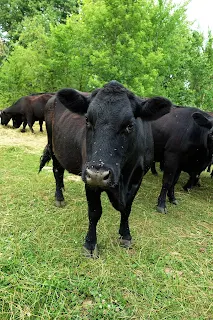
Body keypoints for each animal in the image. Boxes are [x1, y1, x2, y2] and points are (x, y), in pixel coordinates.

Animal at [39, 81, 172, 256]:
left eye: (130, 125)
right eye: (87, 120)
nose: (98, 173)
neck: (123, 179)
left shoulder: (138, 178)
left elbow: (127, 209)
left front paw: (126, 236)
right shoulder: (90, 179)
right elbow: (95, 212)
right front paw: (90, 244)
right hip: (53, 147)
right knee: (57, 172)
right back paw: (59, 197)